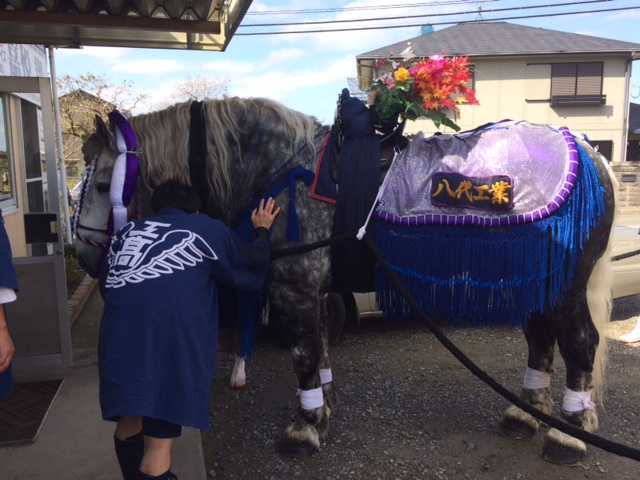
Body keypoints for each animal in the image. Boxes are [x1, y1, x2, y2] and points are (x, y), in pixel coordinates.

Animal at [72, 94, 616, 464]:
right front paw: (324, 408)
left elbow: (302, 356)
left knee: (580, 344)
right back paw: (525, 415)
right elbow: (320, 350)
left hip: (564, 287)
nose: (83, 255)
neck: (280, 170)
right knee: (541, 338)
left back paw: (568, 433)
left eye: (101, 185)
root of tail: (590, 152)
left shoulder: (292, 288)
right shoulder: (314, 290)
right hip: (539, 283)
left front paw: (304, 428)